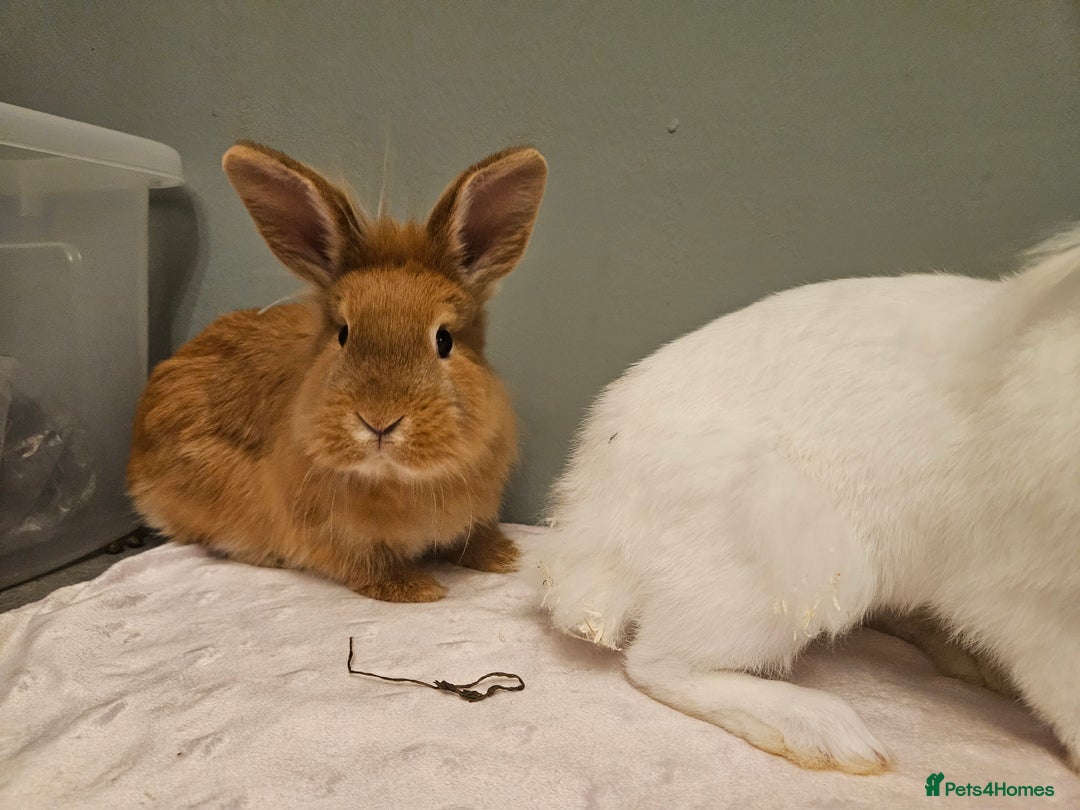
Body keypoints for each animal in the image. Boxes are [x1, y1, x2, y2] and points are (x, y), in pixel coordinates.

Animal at [128, 141, 547, 602]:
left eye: (444, 340)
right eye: (343, 334)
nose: (379, 421)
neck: (395, 479)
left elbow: (471, 537)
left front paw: (504, 557)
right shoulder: (332, 537)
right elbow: (369, 565)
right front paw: (417, 589)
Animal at [529, 223, 1080, 774]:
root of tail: (591, 523)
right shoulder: (1025, 596)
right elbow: (1061, 681)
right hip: (782, 566)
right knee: (658, 665)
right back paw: (828, 733)